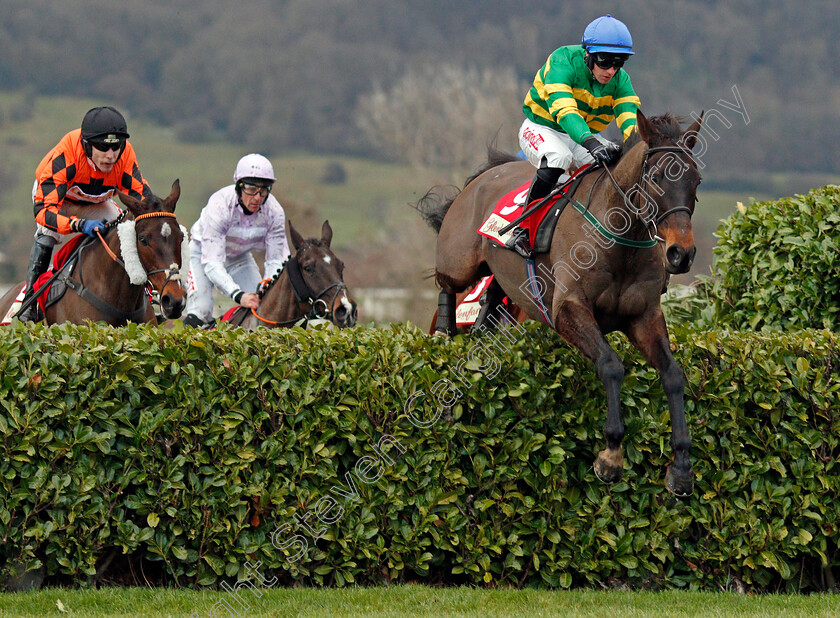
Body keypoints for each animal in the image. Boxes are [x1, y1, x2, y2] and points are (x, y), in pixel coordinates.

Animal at [418, 112, 704, 496]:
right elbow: (611, 365)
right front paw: (610, 457)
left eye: (696, 179)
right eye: (657, 177)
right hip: (459, 262)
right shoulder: (568, 309)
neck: (621, 237)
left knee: (491, 299)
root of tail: (485, 175)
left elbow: (672, 375)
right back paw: (444, 334)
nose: (680, 254)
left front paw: (682, 467)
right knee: (445, 284)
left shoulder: (644, 316)